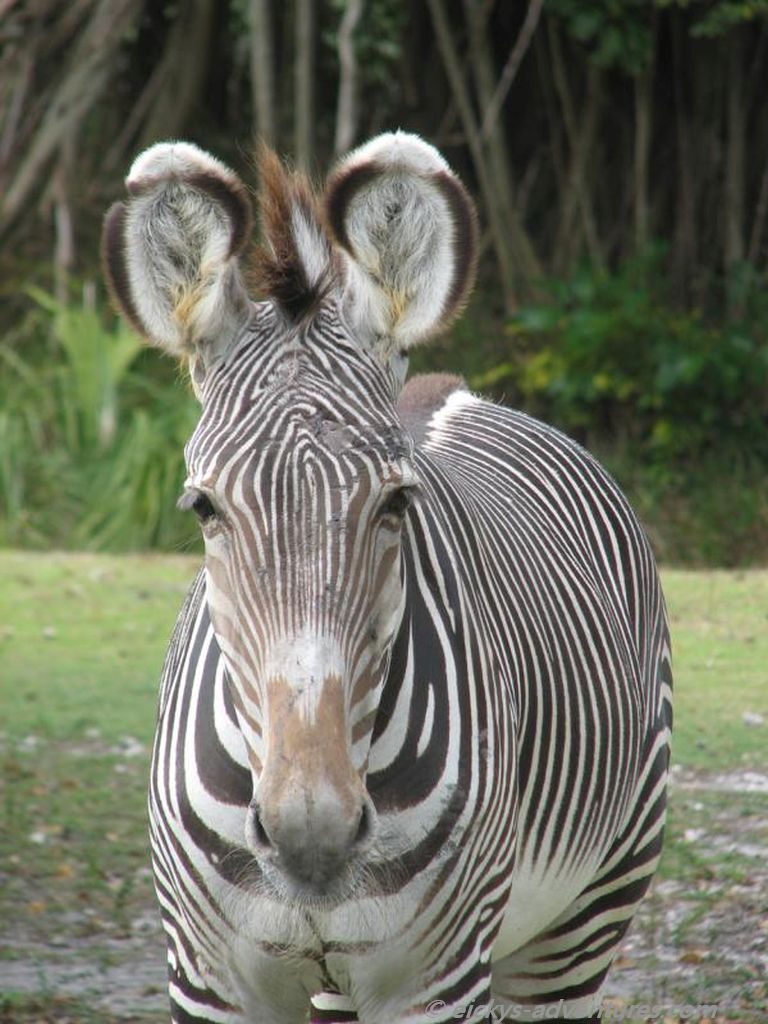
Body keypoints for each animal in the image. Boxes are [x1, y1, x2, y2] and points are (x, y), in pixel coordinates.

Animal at [102, 131, 672, 1024]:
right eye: (203, 508)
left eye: (396, 504)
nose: (313, 836)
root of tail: (453, 389)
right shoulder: (210, 981)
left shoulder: (435, 983)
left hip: (582, 921)